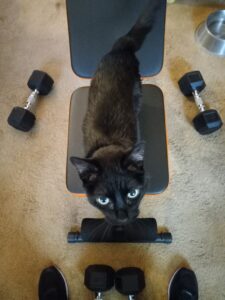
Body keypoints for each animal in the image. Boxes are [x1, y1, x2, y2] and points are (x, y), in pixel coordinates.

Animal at [71, 1, 160, 224]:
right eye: (103, 200)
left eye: (132, 194)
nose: (122, 218)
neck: (110, 144)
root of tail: (120, 48)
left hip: (137, 88)